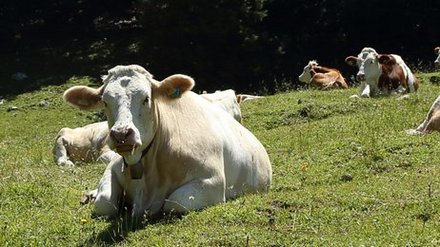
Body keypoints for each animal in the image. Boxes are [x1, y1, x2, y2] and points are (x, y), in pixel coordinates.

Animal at [62, 64, 272, 218]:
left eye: (146, 98)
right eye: (105, 102)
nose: (121, 134)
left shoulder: (213, 181)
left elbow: (173, 203)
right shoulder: (113, 167)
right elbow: (105, 203)